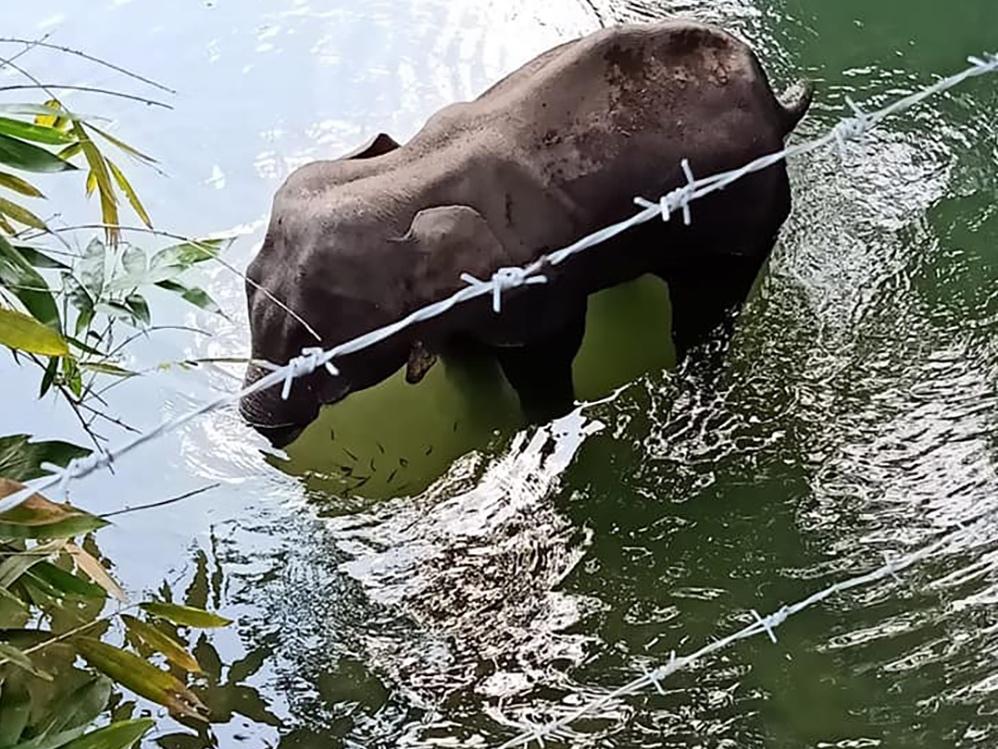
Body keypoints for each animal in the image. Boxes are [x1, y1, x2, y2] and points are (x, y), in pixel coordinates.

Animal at [240, 20, 812, 446]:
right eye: (247, 281)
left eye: (318, 346)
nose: (258, 426)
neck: (410, 172)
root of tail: (776, 105)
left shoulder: (532, 286)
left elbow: (547, 359)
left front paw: (536, 427)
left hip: (745, 210)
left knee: (705, 310)